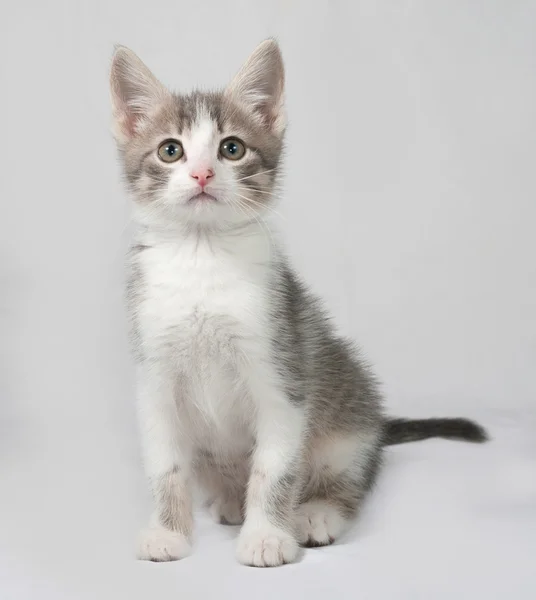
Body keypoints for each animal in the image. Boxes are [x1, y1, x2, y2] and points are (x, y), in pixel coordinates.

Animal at [111, 39, 488, 564]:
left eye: (232, 148)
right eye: (171, 150)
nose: (203, 173)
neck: (203, 258)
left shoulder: (282, 368)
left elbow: (274, 469)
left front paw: (268, 536)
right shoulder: (155, 375)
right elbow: (166, 465)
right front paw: (168, 532)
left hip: (346, 427)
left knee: (348, 480)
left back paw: (315, 513)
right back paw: (229, 500)